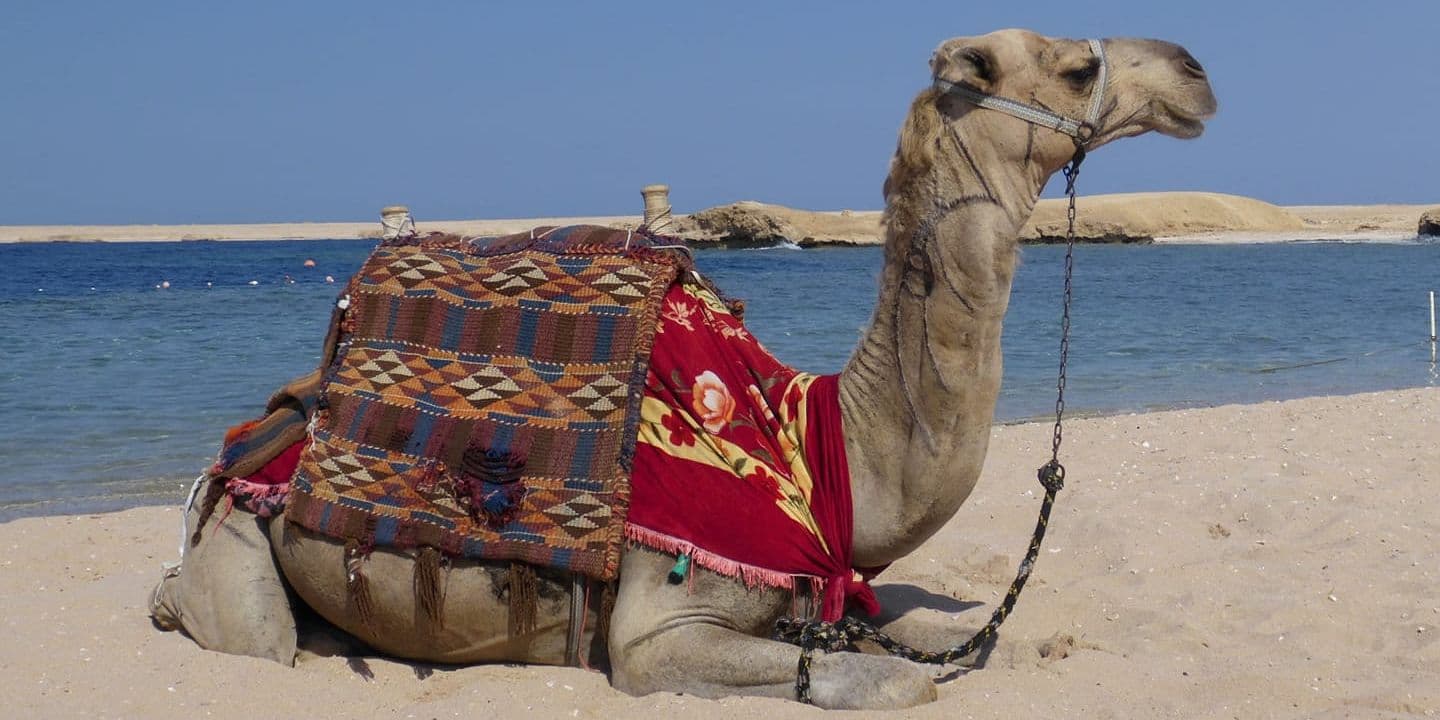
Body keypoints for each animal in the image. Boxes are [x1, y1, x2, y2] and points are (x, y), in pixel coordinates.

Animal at [150, 29, 1216, 709]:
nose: (1198, 71)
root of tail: (259, 432)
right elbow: (896, 678)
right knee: (255, 636)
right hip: (236, 544)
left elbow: (929, 640)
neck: (819, 445)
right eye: (1077, 66)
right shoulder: (658, 629)